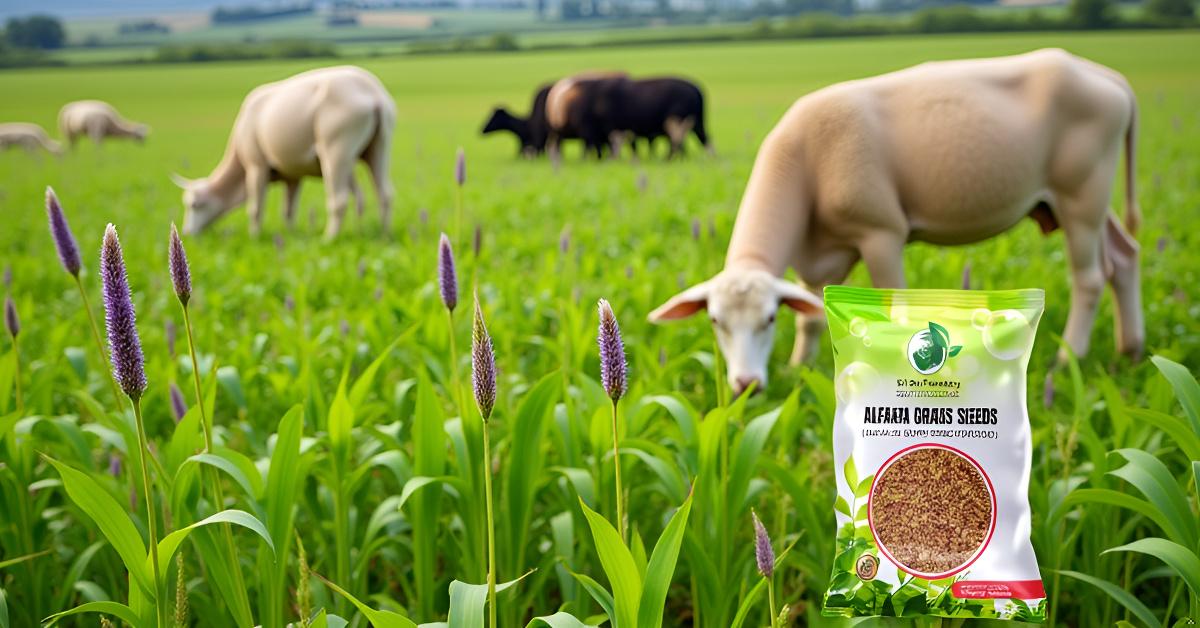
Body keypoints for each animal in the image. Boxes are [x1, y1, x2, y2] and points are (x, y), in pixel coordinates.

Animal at [171, 66, 396, 241]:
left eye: (195, 205)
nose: (187, 233)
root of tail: (373, 93)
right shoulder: (292, 176)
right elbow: (288, 211)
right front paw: (291, 235)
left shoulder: (256, 165)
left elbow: (255, 208)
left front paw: (254, 237)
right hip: (378, 146)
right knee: (383, 193)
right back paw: (383, 235)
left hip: (336, 149)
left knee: (339, 199)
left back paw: (329, 238)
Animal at [649, 49, 1143, 396]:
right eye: (715, 321)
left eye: (769, 319)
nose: (746, 387)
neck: (802, 166)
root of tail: (1108, 77)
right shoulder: (815, 261)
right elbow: (811, 320)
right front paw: (799, 368)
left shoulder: (880, 233)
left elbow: (896, 311)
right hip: (1077, 202)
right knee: (1125, 258)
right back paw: (1131, 349)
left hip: (1082, 194)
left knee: (1091, 278)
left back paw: (1068, 358)